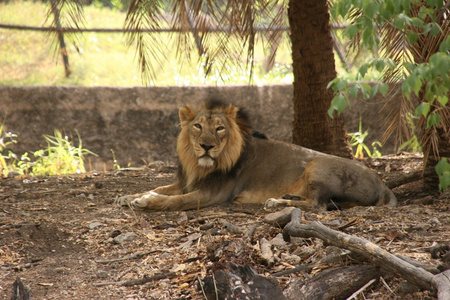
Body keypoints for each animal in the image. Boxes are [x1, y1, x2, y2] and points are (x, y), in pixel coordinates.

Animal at [117, 99, 398, 211]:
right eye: (197, 126)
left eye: (219, 128)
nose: (207, 146)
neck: (199, 165)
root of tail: (383, 184)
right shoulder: (188, 181)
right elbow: (161, 187)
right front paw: (129, 196)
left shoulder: (214, 193)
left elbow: (175, 200)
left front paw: (145, 201)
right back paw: (287, 197)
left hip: (318, 164)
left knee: (318, 206)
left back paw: (276, 202)